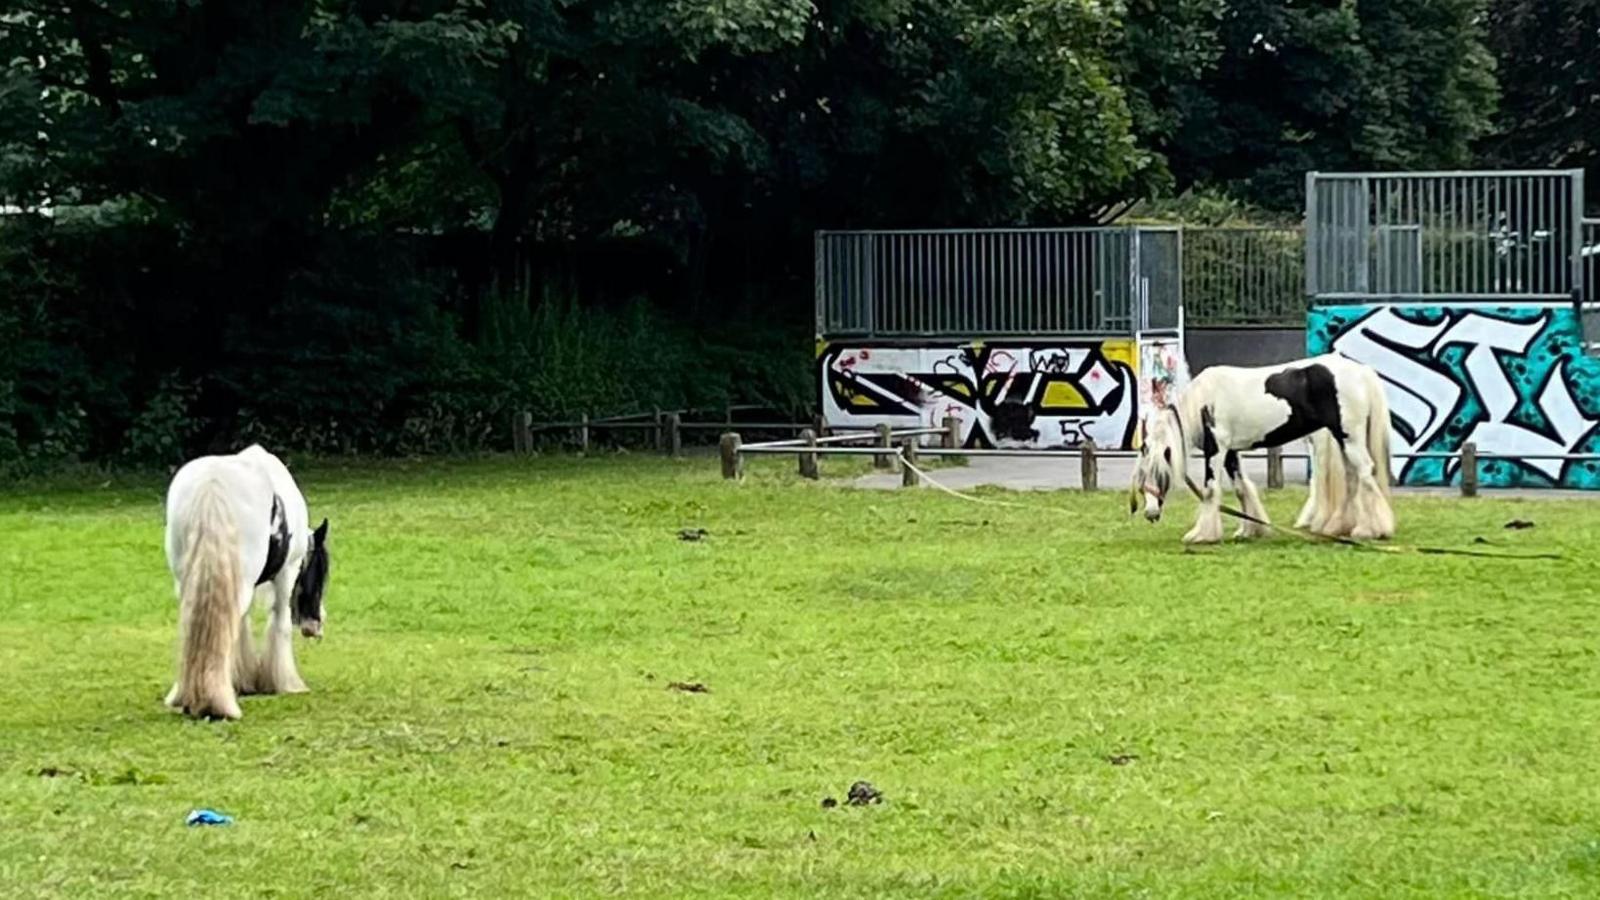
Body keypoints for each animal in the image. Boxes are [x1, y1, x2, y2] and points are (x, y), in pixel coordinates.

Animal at [162, 445, 331, 717]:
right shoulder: (287, 573)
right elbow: (279, 625)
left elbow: (241, 626)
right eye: (320, 570)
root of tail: (212, 486)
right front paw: (285, 683)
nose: (316, 625)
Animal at [1132, 353, 1395, 544]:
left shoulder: (1216, 448)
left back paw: (1371, 530)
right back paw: (1340, 527)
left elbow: (1210, 489)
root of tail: (1362, 371)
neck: (1204, 402)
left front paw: (1201, 534)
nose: (1150, 513)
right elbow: (1241, 488)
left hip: (1350, 438)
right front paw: (1250, 530)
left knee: (1365, 474)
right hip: (1342, 440)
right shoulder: (1230, 452)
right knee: (1352, 479)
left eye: (1158, 473)